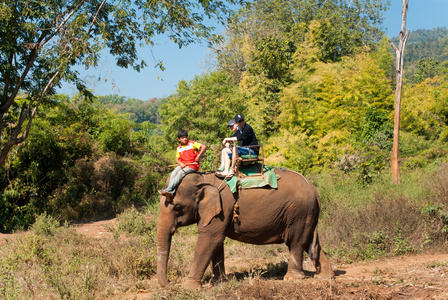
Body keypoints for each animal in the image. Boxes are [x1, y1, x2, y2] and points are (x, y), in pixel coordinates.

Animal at [156, 169, 334, 288]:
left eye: (177, 207)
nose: (171, 282)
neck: (202, 178)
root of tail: (313, 189)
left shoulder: (223, 208)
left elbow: (210, 239)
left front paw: (189, 287)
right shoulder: (221, 212)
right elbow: (217, 241)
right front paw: (220, 281)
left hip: (298, 212)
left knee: (295, 242)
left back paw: (292, 279)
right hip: (306, 214)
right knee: (309, 242)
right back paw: (324, 277)